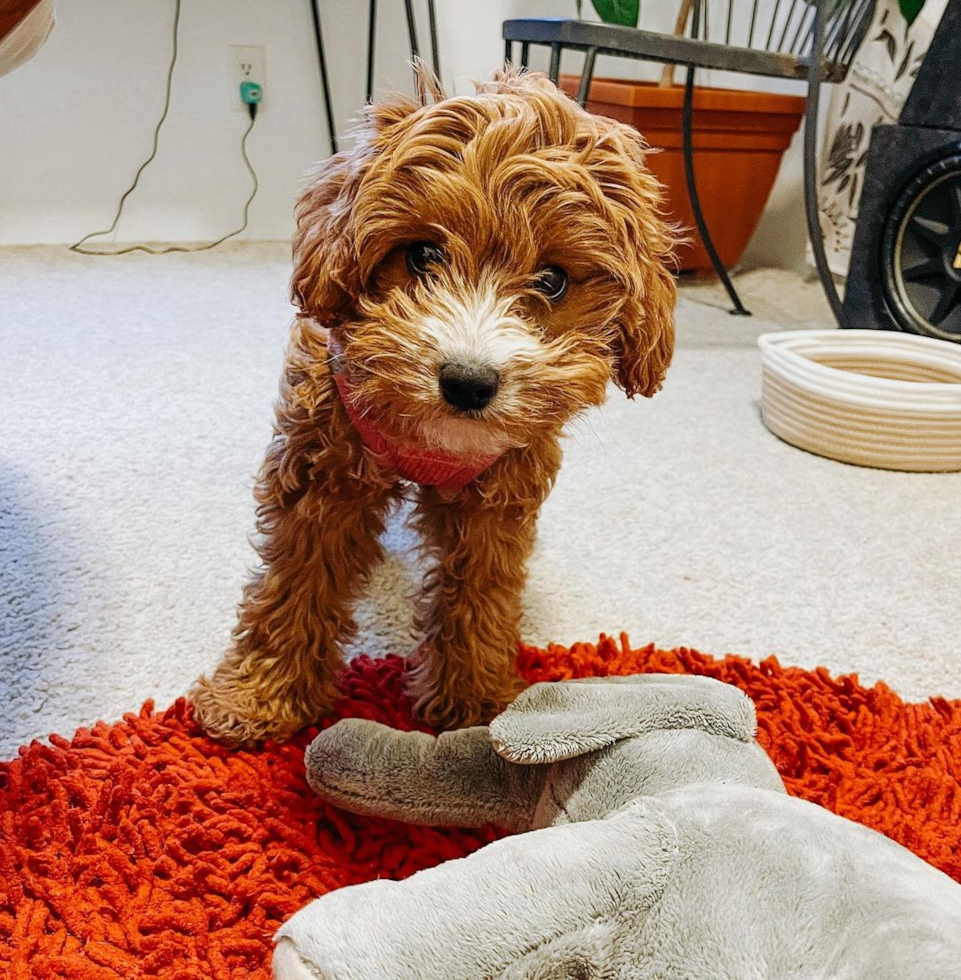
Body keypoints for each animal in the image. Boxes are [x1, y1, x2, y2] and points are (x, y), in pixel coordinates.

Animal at [191, 67, 676, 744]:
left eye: (552, 280)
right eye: (422, 255)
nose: (469, 382)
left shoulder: (499, 496)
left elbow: (481, 593)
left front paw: (473, 706)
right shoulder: (322, 470)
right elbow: (297, 581)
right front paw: (259, 696)